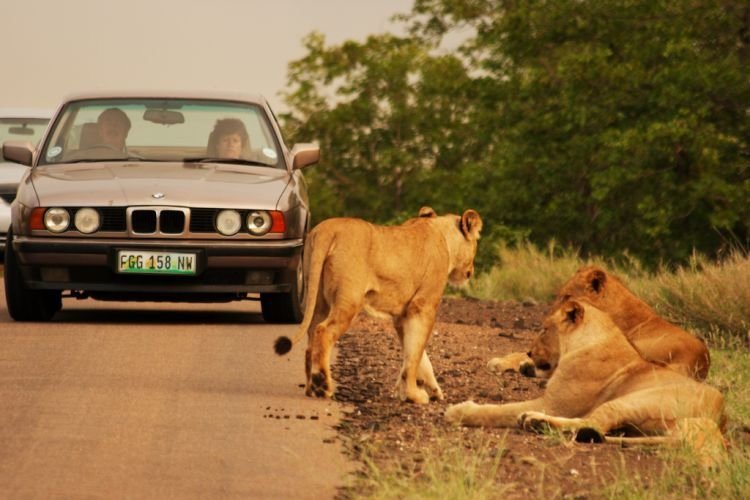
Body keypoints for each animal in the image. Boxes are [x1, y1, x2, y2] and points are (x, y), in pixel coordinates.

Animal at [274, 205, 482, 404]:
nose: (471, 270)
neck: (442, 234)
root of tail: (327, 229)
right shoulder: (423, 307)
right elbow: (415, 353)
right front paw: (413, 395)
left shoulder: (402, 315)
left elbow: (416, 354)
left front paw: (428, 389)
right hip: (349, 299)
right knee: (323, 331)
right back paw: (322, 386)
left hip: (318, 299)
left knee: (311, 335)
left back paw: (311, 387)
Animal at [446, 296, 728, 464]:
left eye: (544, 329)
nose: (530, 352)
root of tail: (720, 419)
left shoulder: (553, 404)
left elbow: (498, 410)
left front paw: (459, 411)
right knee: (600, 430)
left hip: (632, 400)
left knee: (592, 423)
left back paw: (534, 421)